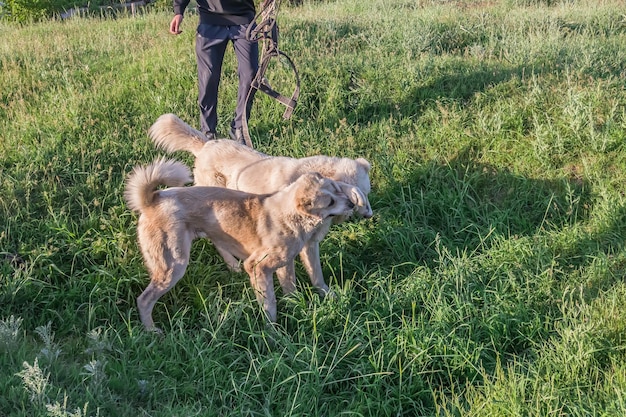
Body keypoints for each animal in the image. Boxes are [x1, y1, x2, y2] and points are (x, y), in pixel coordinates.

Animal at [123, 157, 356, 328]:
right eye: (330, 202)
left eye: (337, 189)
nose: (353, 204)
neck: (291, 215)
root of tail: (152, 199)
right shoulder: (257, 266)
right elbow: (270, 304)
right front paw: (273, 333)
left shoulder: (286, 263)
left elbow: (296, 287)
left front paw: (300, 308)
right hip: (173, 265)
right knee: (144, 300)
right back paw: (152, 331)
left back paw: (233, 267)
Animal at [146, 113, 370, 296]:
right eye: (358, 199)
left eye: (368, 194)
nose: (369, 215)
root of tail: (207, 145)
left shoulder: (310, 244)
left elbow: (317, 274)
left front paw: (327, 295)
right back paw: (233, 265)